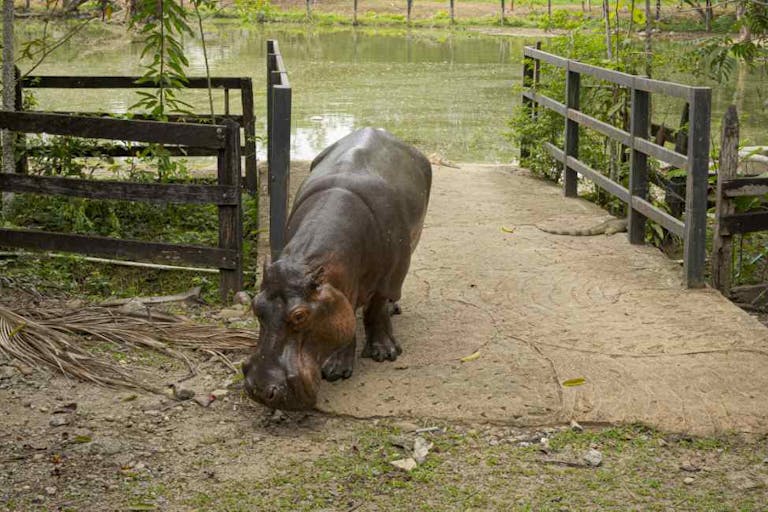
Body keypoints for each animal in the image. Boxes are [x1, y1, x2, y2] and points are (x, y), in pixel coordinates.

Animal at [243, 128, 432, 410]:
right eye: (256, 306)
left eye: (300, 316)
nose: (261, 391)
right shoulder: (342, 287)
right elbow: (347, 317)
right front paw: (336, 369)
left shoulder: (388, 277)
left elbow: (376, 310)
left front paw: (385, 354)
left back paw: (393, 309)